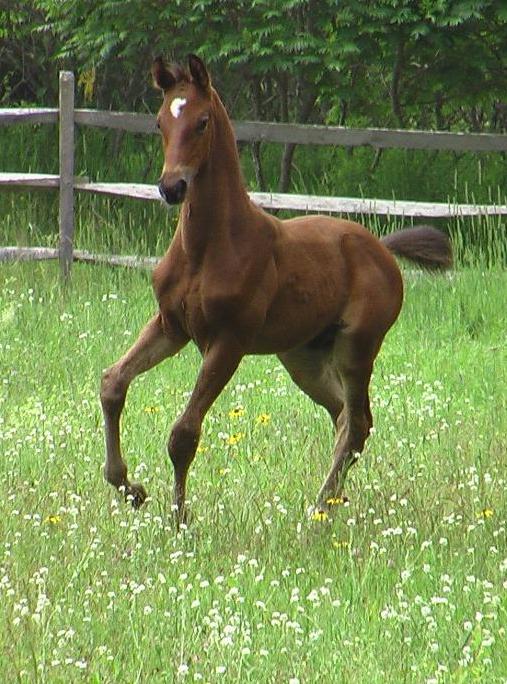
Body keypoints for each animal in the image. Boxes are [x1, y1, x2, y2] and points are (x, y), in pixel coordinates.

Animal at [100, 55, 452, 522]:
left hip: (357, 346)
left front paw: (179, 520)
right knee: (346, 417)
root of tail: (382, 248)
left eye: (202, 121)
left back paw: (319, 509)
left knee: (357, 423)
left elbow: (184, 433)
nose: (171, 188)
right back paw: (333, 502)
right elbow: (113, 384)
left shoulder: (228, 342)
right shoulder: (170, 326)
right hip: (303, 356)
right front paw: (132, 489)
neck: (207, 247)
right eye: (160, 121)